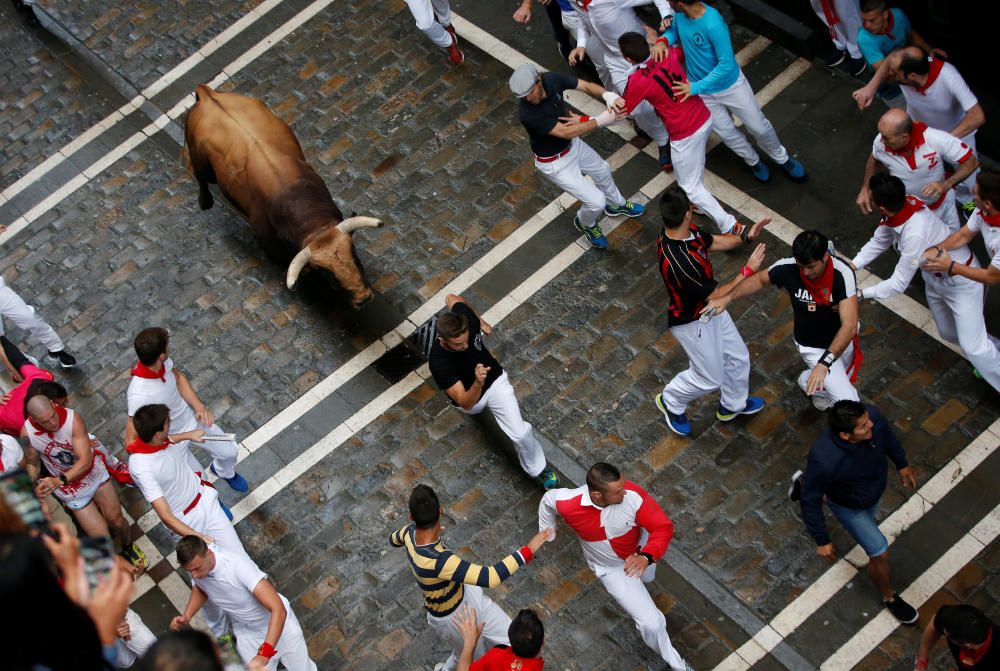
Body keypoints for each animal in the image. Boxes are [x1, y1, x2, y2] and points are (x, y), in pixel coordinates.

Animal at [184, 83, 382, 310]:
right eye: (328, 275)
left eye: (355, 257)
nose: (363, 298)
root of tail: (208, 94)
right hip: (201, 162)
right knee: (200, 177)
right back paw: (204, 202)